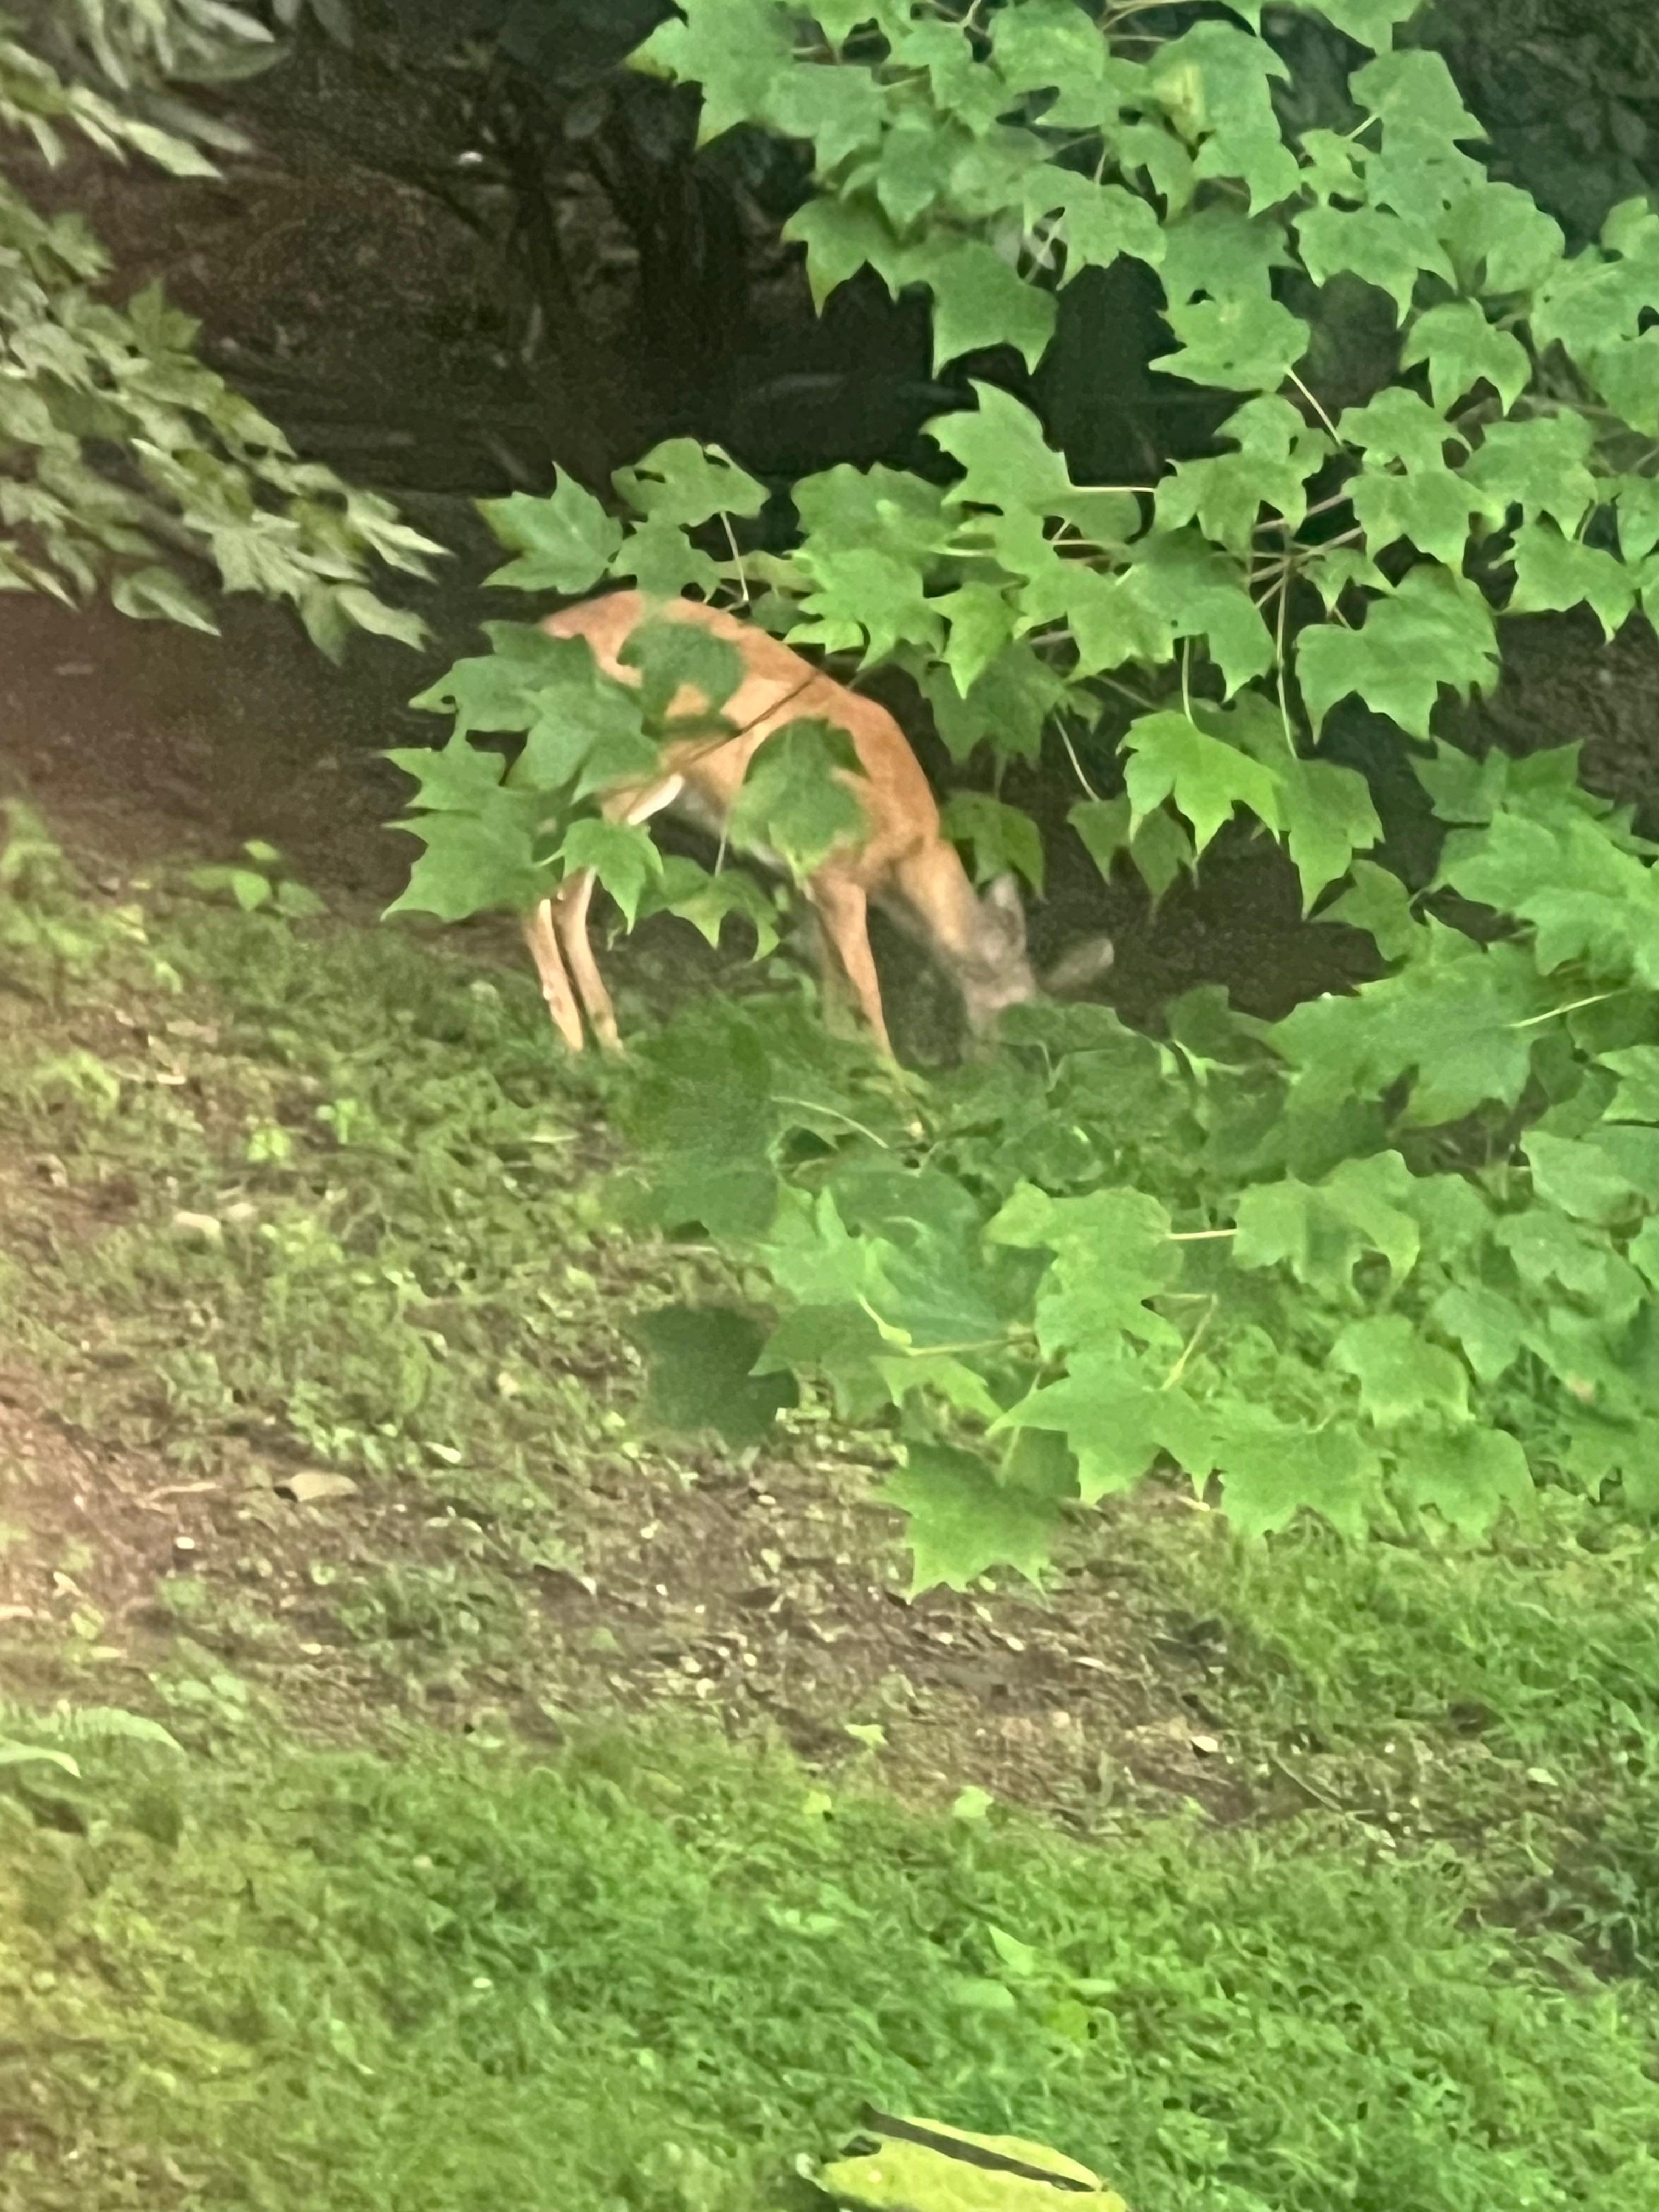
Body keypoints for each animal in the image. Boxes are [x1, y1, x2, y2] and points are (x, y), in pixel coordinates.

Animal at [518, 590, 1112, 1059]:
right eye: (1020, 1025)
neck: (909, 857)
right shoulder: (837, 874)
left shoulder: (807, 882)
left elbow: (831, 989)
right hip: (629, 773)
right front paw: (906, 1109)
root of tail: (547, 631)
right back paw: (592, 1043)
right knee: (558, 896)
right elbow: (867, 993)